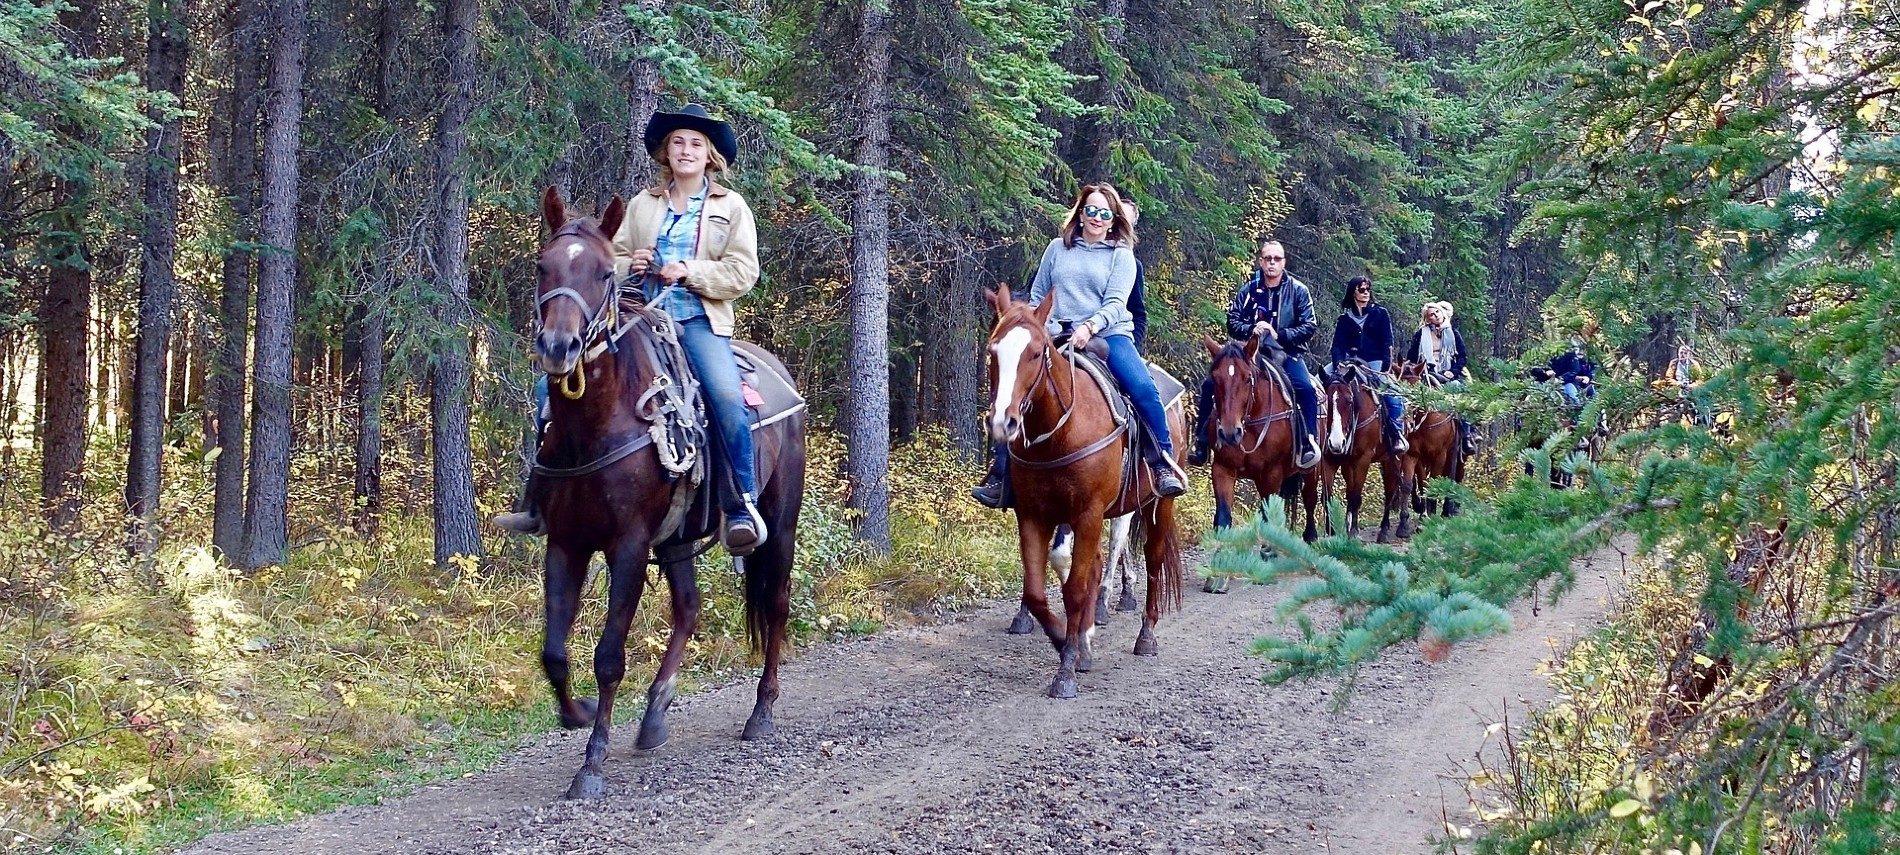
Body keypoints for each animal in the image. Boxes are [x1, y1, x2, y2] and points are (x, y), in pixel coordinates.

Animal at [532, 189, 805, 801]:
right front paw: (578, 712)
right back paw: (655, 714)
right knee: (689, 608)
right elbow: (555, 652)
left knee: (775, 603)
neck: (596, 424)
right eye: (543, 267)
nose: (559, 347)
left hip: (780, 521)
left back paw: (762, 712)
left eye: (603, 273)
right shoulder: (565, 542)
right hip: (678, 538)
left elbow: (609, 656)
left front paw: (592, 764)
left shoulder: (630, 545)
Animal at [988, 283, 1178, 699]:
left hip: (1157, 505)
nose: (1003, 422)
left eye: (1036, 352)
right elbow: (1037, 591)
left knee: (1152, 560)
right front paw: (1066, 640)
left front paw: (1066, 670)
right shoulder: (1034, 514)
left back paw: (1146, 636)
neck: (1061, 430)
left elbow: (1075, 587)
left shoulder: (1087, 513)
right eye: (993, 351)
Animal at [1322, 361, 1413, 539]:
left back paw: (1387, 529)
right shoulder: (1330, 460)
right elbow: (1328, 497)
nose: (1336, 443)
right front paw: (1332, 532)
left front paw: (1352, 532)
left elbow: (1356, 496)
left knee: (1392, 489)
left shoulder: (1363, 460)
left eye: (1349, 400)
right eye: (1326, 400)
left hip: (1395, 457)